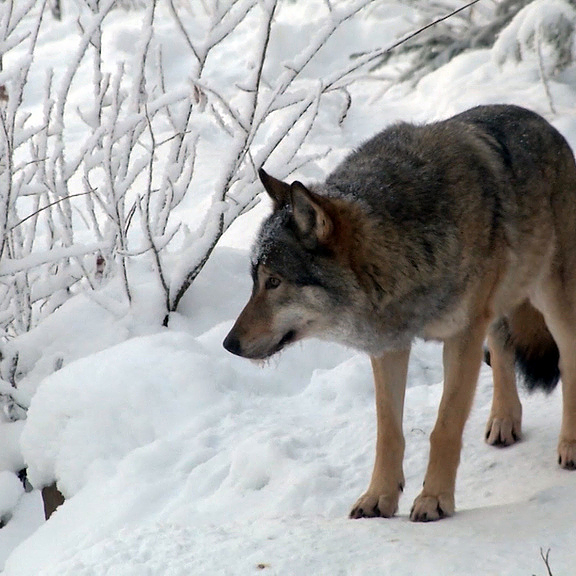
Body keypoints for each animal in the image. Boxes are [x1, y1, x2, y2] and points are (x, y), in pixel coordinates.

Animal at [222, 103, 576, 520]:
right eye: (254, 280)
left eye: (274, 282)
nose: (228, 345)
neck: (404, 252)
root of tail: (543, 123)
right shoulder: (389, 347)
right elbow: (388, 432)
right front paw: (379, 498)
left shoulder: (462, 337)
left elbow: (444, 427)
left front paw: (434, 500)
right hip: (498, 305)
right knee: (503, 350)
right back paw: (504, 421)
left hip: (552, 298)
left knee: (567, 359)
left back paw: (570, 445)